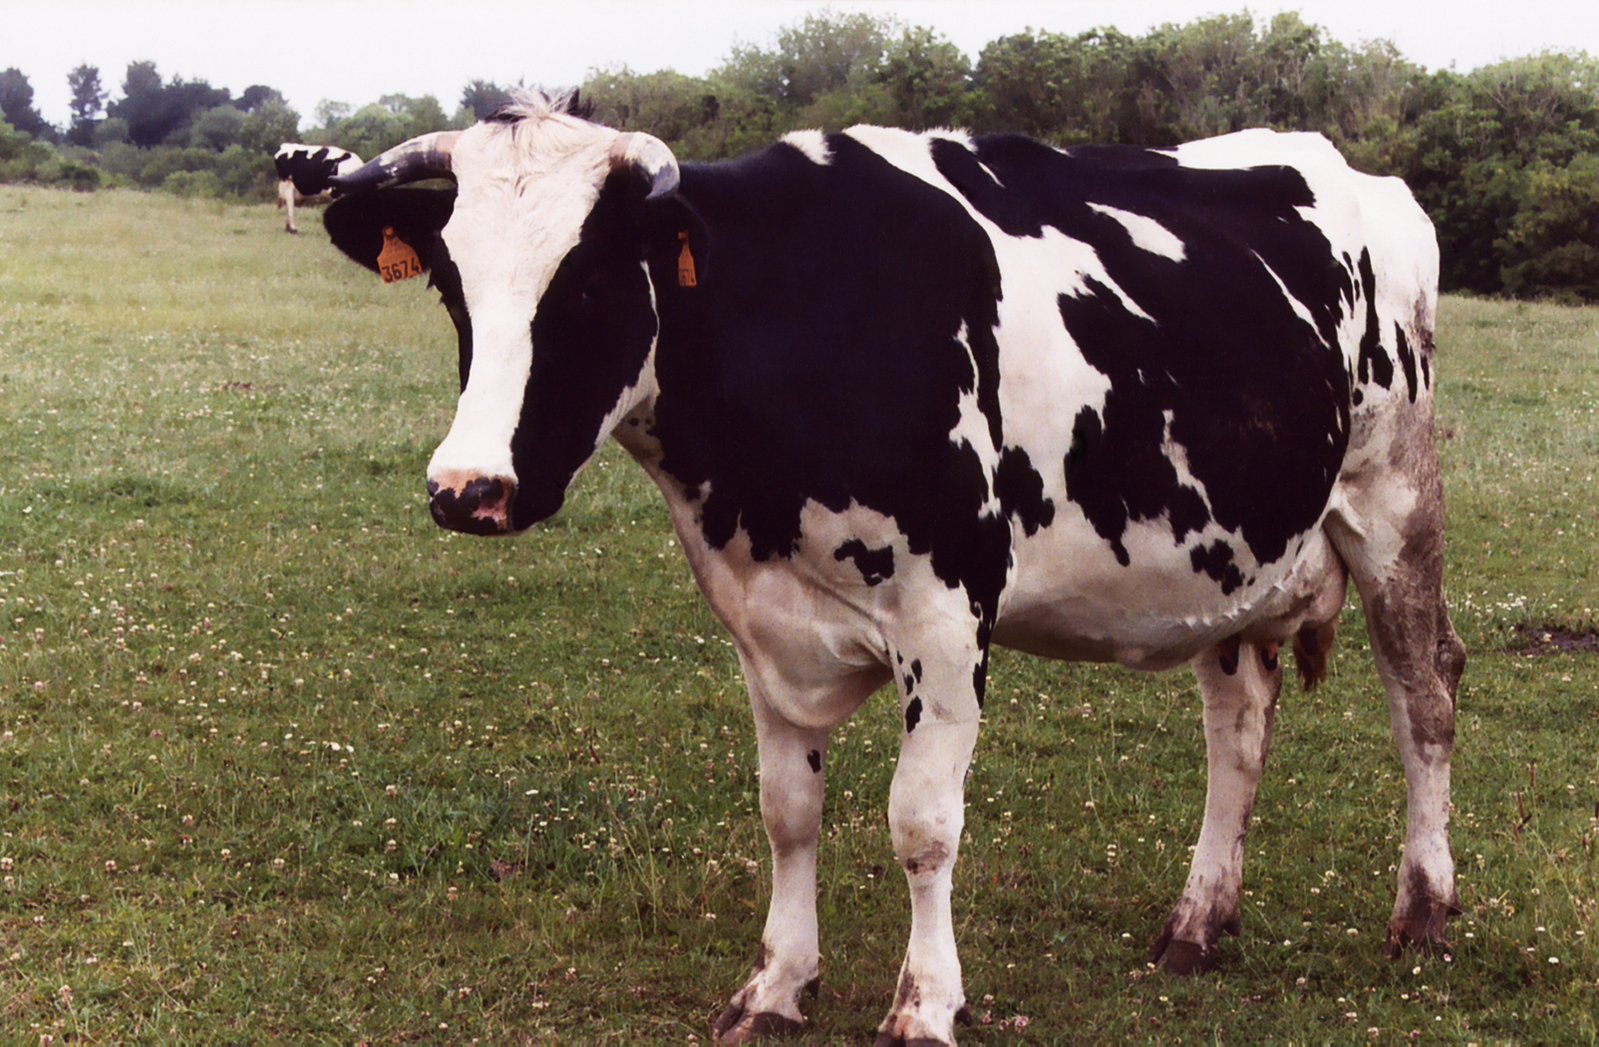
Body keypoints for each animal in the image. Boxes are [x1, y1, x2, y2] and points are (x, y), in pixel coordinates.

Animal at [321, 92, 1464, 1047]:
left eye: (591, 282)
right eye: (451, 285)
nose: (467, 488)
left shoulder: (947, 615)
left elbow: (921, 824)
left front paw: (925, 1005)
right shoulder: (760, 619)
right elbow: (787, 809)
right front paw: (777, 985)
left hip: (1393, 500)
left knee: (1425, 694)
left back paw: (1423, 912)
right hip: (1228, 562)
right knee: (1238, 731)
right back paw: (1197, 922)